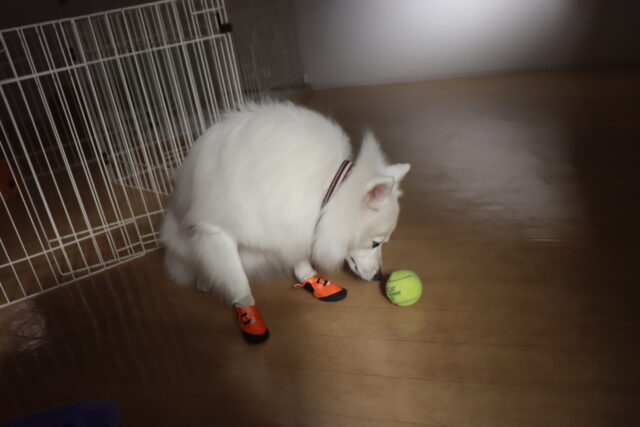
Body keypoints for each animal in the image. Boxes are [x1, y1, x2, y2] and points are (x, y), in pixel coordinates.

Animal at [159, 102, 410, 343]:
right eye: (376, 243)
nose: (379, 277)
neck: (325, 189)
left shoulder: (291, 223)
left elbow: (299, 256)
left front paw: (311, 278)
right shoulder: (215, 231)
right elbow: (239, 282)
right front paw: (249, 317)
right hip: (185, 241)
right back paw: (204, 281)